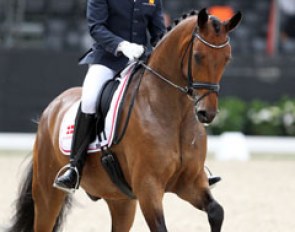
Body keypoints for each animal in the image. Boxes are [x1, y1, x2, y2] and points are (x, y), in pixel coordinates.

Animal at [9, 8, 243, 232]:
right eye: (197, 56)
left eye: (227, 59)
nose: (207, 113)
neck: (175, 116)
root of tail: (52, 107)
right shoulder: (148, 187)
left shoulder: (190, 183)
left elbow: (217, 212)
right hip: (47, 194)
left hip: (121, 200)